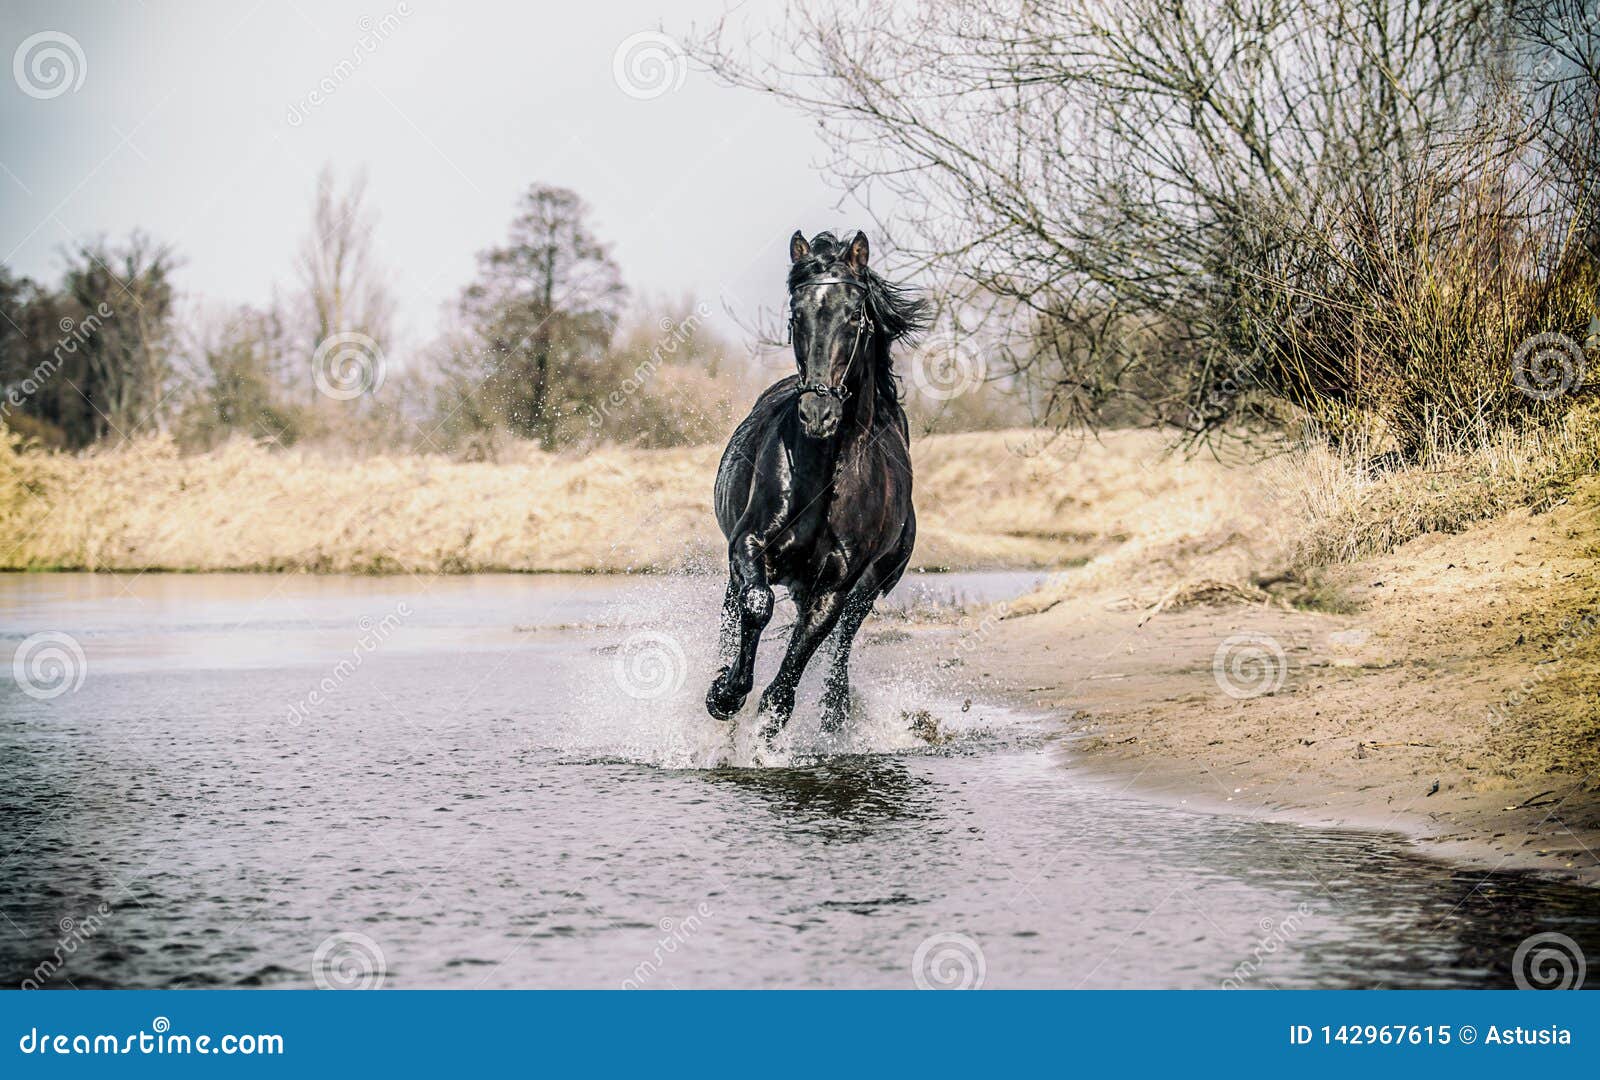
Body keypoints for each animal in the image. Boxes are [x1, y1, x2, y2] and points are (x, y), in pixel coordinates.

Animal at [710, 225, 934, 736]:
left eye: (855, 316)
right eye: (797, 314)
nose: (818, 414)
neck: (825, 477)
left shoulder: (835, 585)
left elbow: (798, 662)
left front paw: (768, 724)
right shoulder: (749, 543)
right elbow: (757, 604)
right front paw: (726, 694)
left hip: (868, 587)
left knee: (843, 641)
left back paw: (836, 711)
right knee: (736, 610)